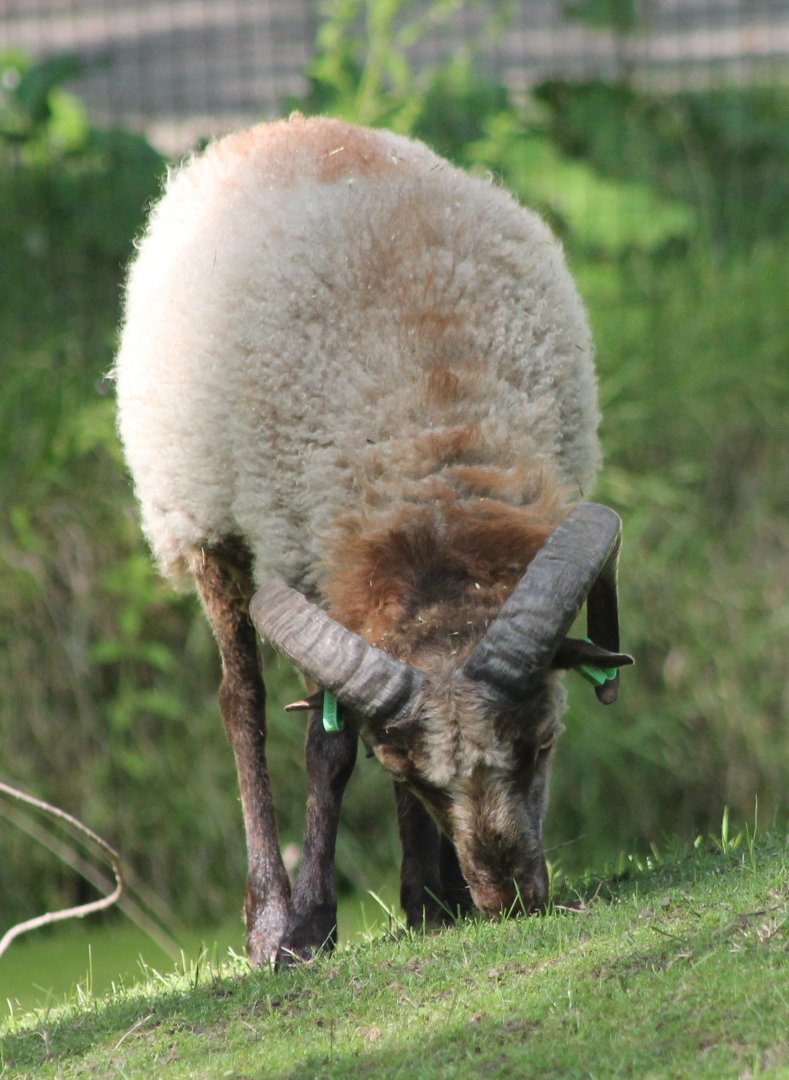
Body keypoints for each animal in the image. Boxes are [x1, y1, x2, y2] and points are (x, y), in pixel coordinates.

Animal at [114, 114, 632, 967]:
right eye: (414, 773)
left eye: (541, 743)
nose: (509, 901)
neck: (434, 466)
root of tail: (280, 126)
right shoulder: (305, 556)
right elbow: (327, 753)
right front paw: (309, 927)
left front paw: (431, 899)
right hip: (204, 519)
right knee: (241, 705)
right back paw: (267, 915)